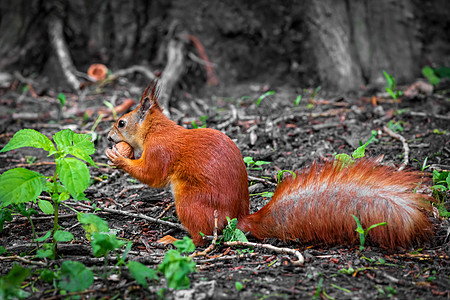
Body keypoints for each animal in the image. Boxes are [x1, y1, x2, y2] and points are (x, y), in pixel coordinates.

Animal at [105, 81, 432, 248]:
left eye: (121, 122)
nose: (107, 137)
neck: (155, 130)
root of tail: (238, 219)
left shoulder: (161, 151)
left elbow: (152, 174)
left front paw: (118, 157)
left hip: (190, 202)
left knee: (202, 238)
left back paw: (175, 239)